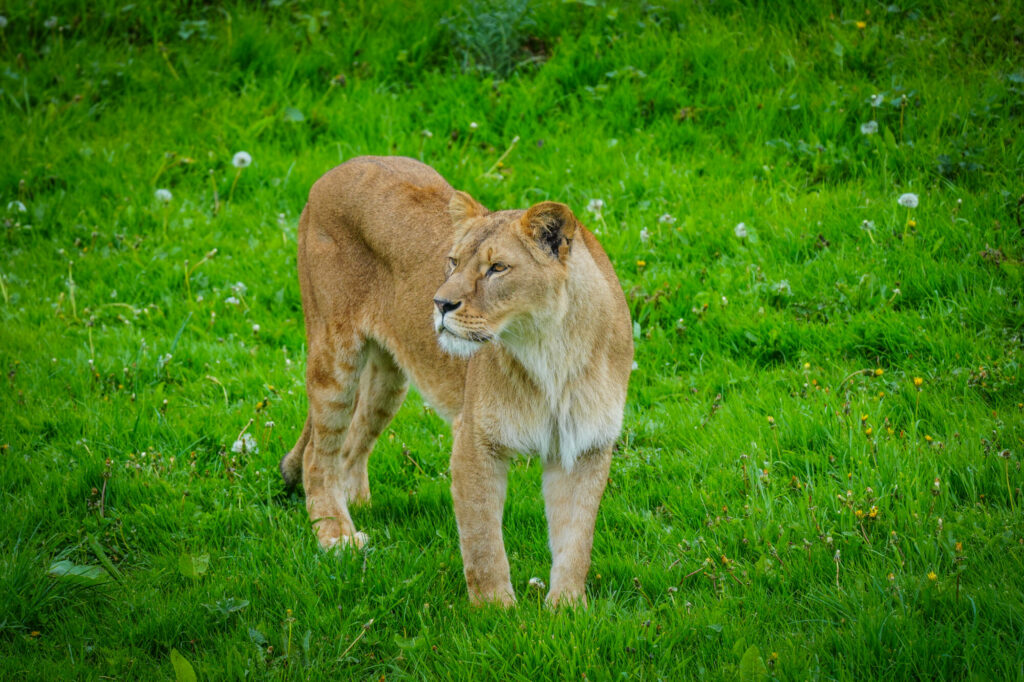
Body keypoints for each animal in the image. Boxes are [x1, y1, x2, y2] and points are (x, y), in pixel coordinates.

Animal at [279, 156, 633, 606]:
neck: (552, 351)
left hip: (389, 379)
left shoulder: (585, 444)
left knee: (350, 444)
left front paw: (567, 609)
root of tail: (338, 167)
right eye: (452, 261)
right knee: (318, 455)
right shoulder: (475, 439)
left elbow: (576, 539)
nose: (440, 303)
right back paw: (336, 535)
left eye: (497, 268)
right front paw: (496, 610)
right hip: (334, 350)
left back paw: (358, 505)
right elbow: (483, 541)